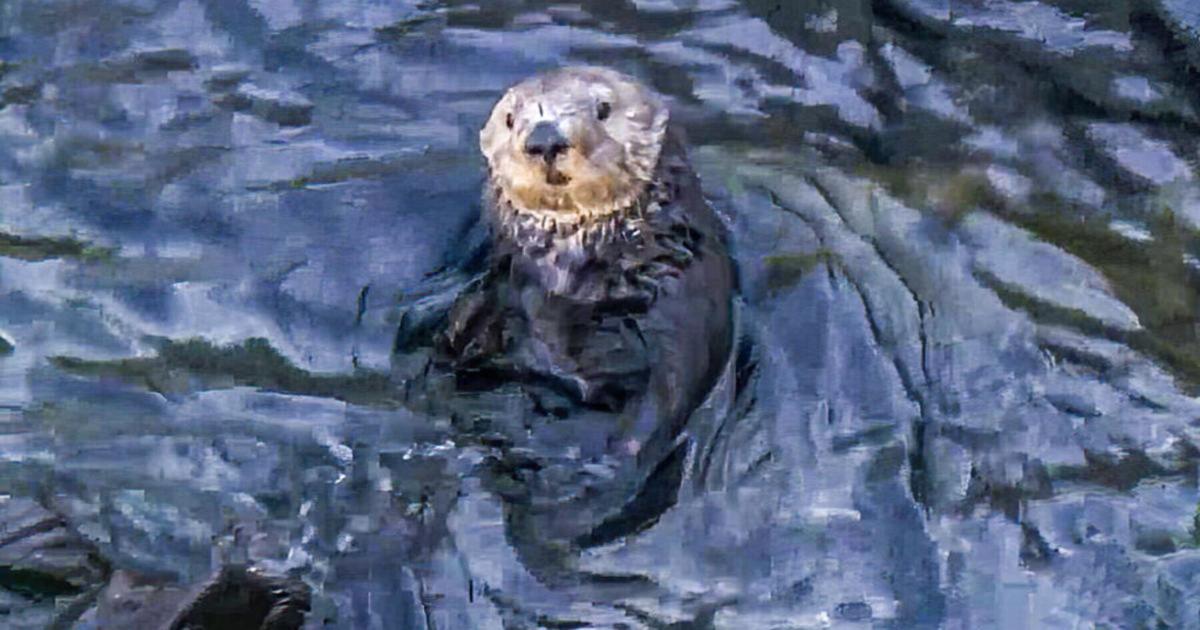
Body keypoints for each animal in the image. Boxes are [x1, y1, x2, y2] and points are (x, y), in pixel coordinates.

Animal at [422, 66, 734, 554]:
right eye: (511, 119)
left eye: (603, 108)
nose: (545, 138)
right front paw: (465, 327)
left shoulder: (682, 305)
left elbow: (664, 393)